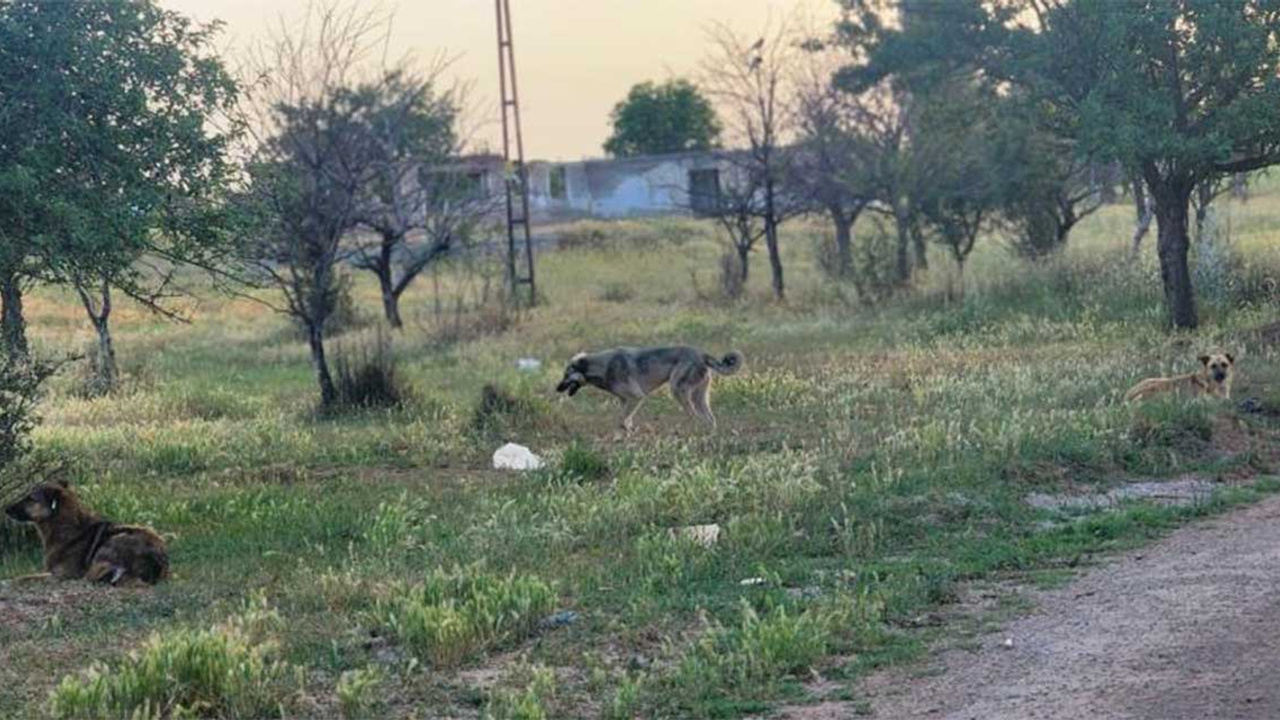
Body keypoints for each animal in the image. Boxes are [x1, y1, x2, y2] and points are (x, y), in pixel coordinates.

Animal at [555, 343, 747, 427]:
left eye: (566, 375)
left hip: (678, 391)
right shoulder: (625, 401)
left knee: (695, 418)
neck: (604, 366)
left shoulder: (636, 398)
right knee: (709, 419)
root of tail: (702, 354)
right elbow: (624, 420)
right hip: (699, 398)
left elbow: (622, 420)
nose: (556, 388)